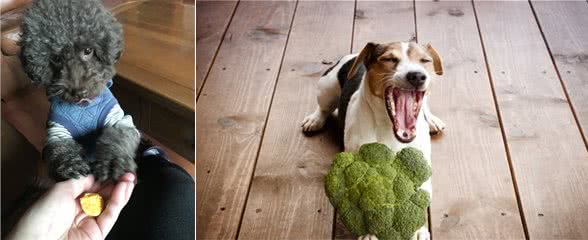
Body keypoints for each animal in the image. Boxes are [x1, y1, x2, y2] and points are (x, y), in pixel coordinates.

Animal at [18, 0, 140, 182]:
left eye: (88, 51)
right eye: (56, 58)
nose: (79, 92)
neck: (83, 106)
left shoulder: (118, 119)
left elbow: (119, 135)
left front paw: (112, 162)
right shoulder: (57, 130)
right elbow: (59, 147)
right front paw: (69, 164)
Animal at [304, 41, 446, 240]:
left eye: (425, 60)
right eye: (389, 59)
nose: (417, 76)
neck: (388, 128)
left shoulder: (421, 165)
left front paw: (419, 229)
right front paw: (370, 233)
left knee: (425, 104)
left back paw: (432, 120)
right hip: (326, 88)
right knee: (323, 108)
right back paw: (315, 119)